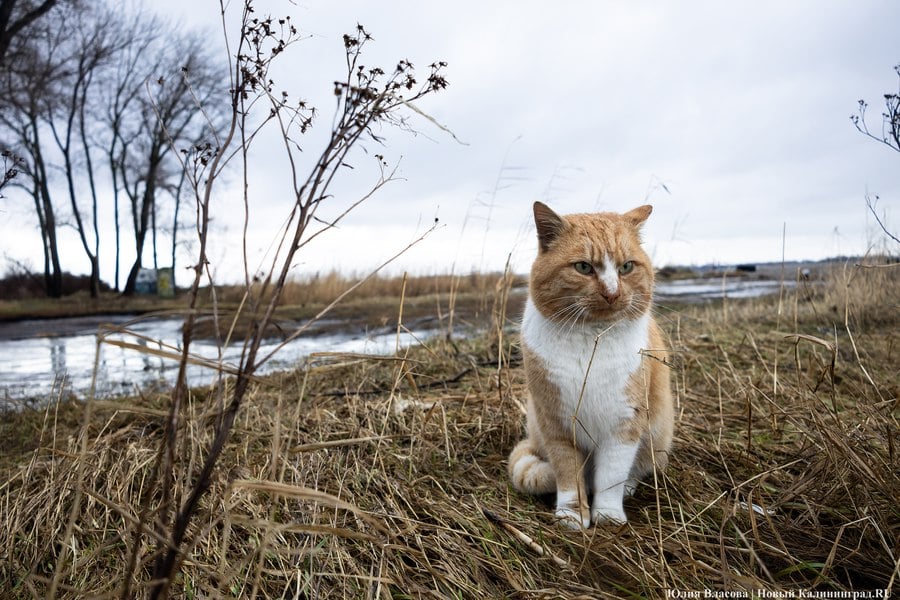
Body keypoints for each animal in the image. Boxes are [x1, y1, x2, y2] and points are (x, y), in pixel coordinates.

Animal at [510, 203, 672, 528]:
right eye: (584, 267)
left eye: (626, 267)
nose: (612, 293)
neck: (590, 340)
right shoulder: (556, 423)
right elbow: (568, 474)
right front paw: (572, 515)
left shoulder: (624, 423)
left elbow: (611, 475)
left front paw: (607, 514)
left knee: (637, 469)